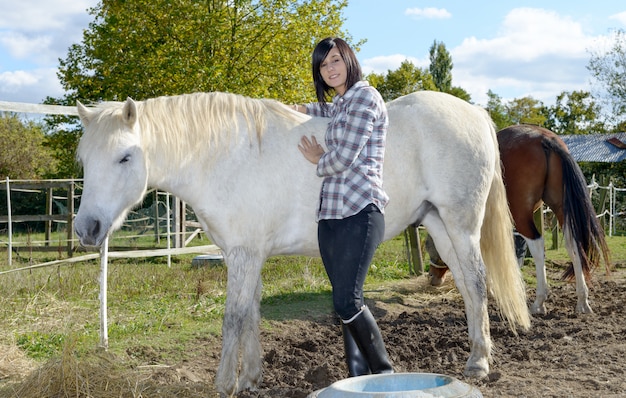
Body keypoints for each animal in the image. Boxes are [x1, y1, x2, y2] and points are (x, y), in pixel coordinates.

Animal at [75, 91, 528, 398]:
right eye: (84, 160)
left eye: (125, 157)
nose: (87, 228)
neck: (225, 156)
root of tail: (475, 113)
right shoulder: (248, 256)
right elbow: (251, 313)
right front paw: (251, 378)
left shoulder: (243, 254)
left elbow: (233, 317)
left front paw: (224, 384)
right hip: (438, 224)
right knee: (468, 287)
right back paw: (476, 354)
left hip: (460, 223)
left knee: (477, 281)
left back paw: (478, 364)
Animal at [426, 124, 608, 314]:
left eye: (429, 247)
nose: (432, 277)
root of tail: (544, 138)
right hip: (561, 209)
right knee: (573, 245)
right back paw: (582, 301)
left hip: (521, 215)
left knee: (537, 245)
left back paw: (539, 302)